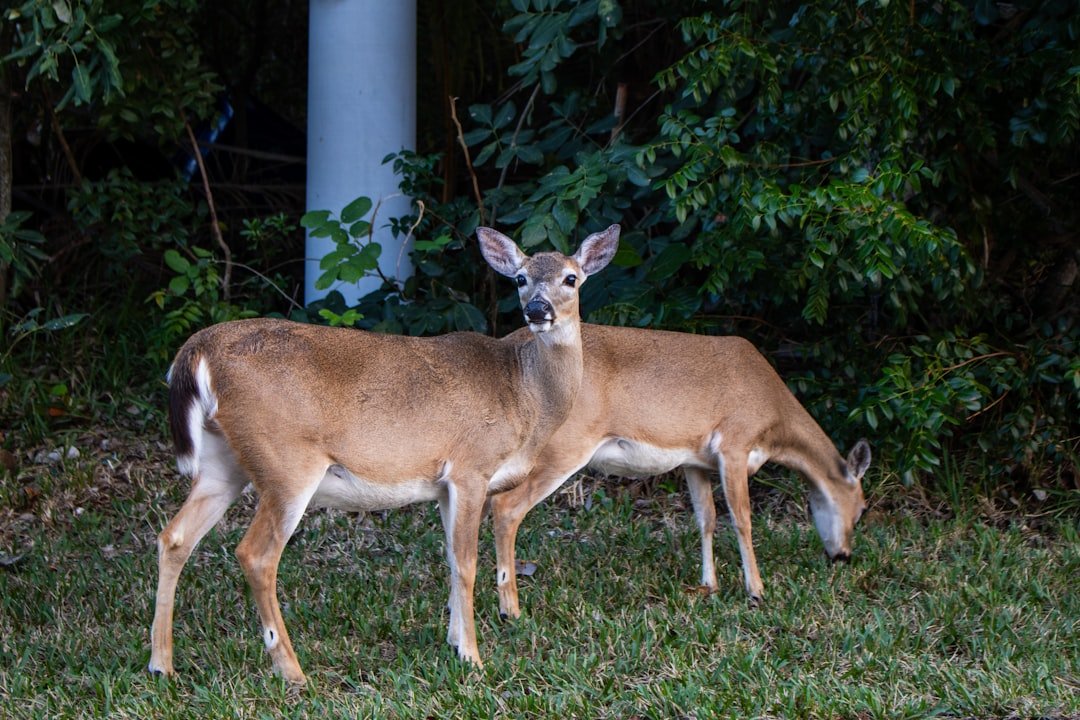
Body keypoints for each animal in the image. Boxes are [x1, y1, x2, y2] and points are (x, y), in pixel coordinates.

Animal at [147, 224, 620, 684]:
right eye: (520, 278)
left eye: (571, 278)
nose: (537, 309)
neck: (524, 394)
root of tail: (198, 352)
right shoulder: (471, 467)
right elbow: (467, 563)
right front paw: (473, 659)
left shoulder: (444, 485)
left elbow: (451, 560)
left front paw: (454, 643)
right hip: (286, 463)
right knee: (255, 555)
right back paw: (293, 673)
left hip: (223, 463)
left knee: (174, 537)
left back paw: (162, 664)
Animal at [489, 324, 872, 620]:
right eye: (862, 508)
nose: (843, 556)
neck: (774, 416)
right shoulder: (734, 444)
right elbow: (742, 519)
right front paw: (757, 590)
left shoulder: (694, 460)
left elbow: (707, 518)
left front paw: (709, 585)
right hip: (563, 446)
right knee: (506, 507)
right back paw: (511, 610)